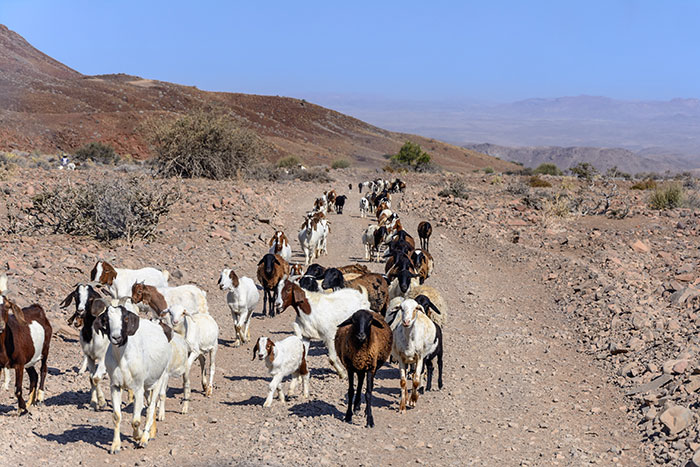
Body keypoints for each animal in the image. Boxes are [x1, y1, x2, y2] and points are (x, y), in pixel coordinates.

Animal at [95, 305, 171, 453]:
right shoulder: (115, 386)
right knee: (150, 406)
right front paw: (115, 446)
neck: (123, 360)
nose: (116, 337)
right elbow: (116, 416)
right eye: (106, 319)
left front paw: (139, 435)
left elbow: (136, 421)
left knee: (151, 407)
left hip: (158, 379)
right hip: (147, 386)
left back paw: (144, 439)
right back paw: (152, 433)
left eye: (125, 318)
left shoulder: (137, 388)